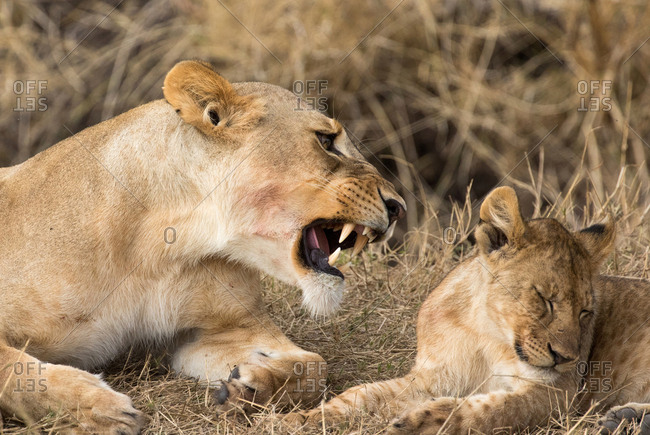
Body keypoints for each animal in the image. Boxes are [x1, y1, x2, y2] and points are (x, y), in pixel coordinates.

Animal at [0, 60, 406, 433]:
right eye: (326, 142)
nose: (398, 207)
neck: (165, 245)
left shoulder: (219, 330)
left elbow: (313, 364)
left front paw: (249, 387)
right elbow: (13, 370)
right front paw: (101, 409)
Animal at [285, 186, 650, 434]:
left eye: (585, 312)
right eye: (545, 298)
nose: (566, 358)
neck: (487, 333)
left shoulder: (557, 394)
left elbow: (493, 409)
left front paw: (420, 423)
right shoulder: (432, 378)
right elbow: (361, 396)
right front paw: (298, 419)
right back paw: (626, 418)